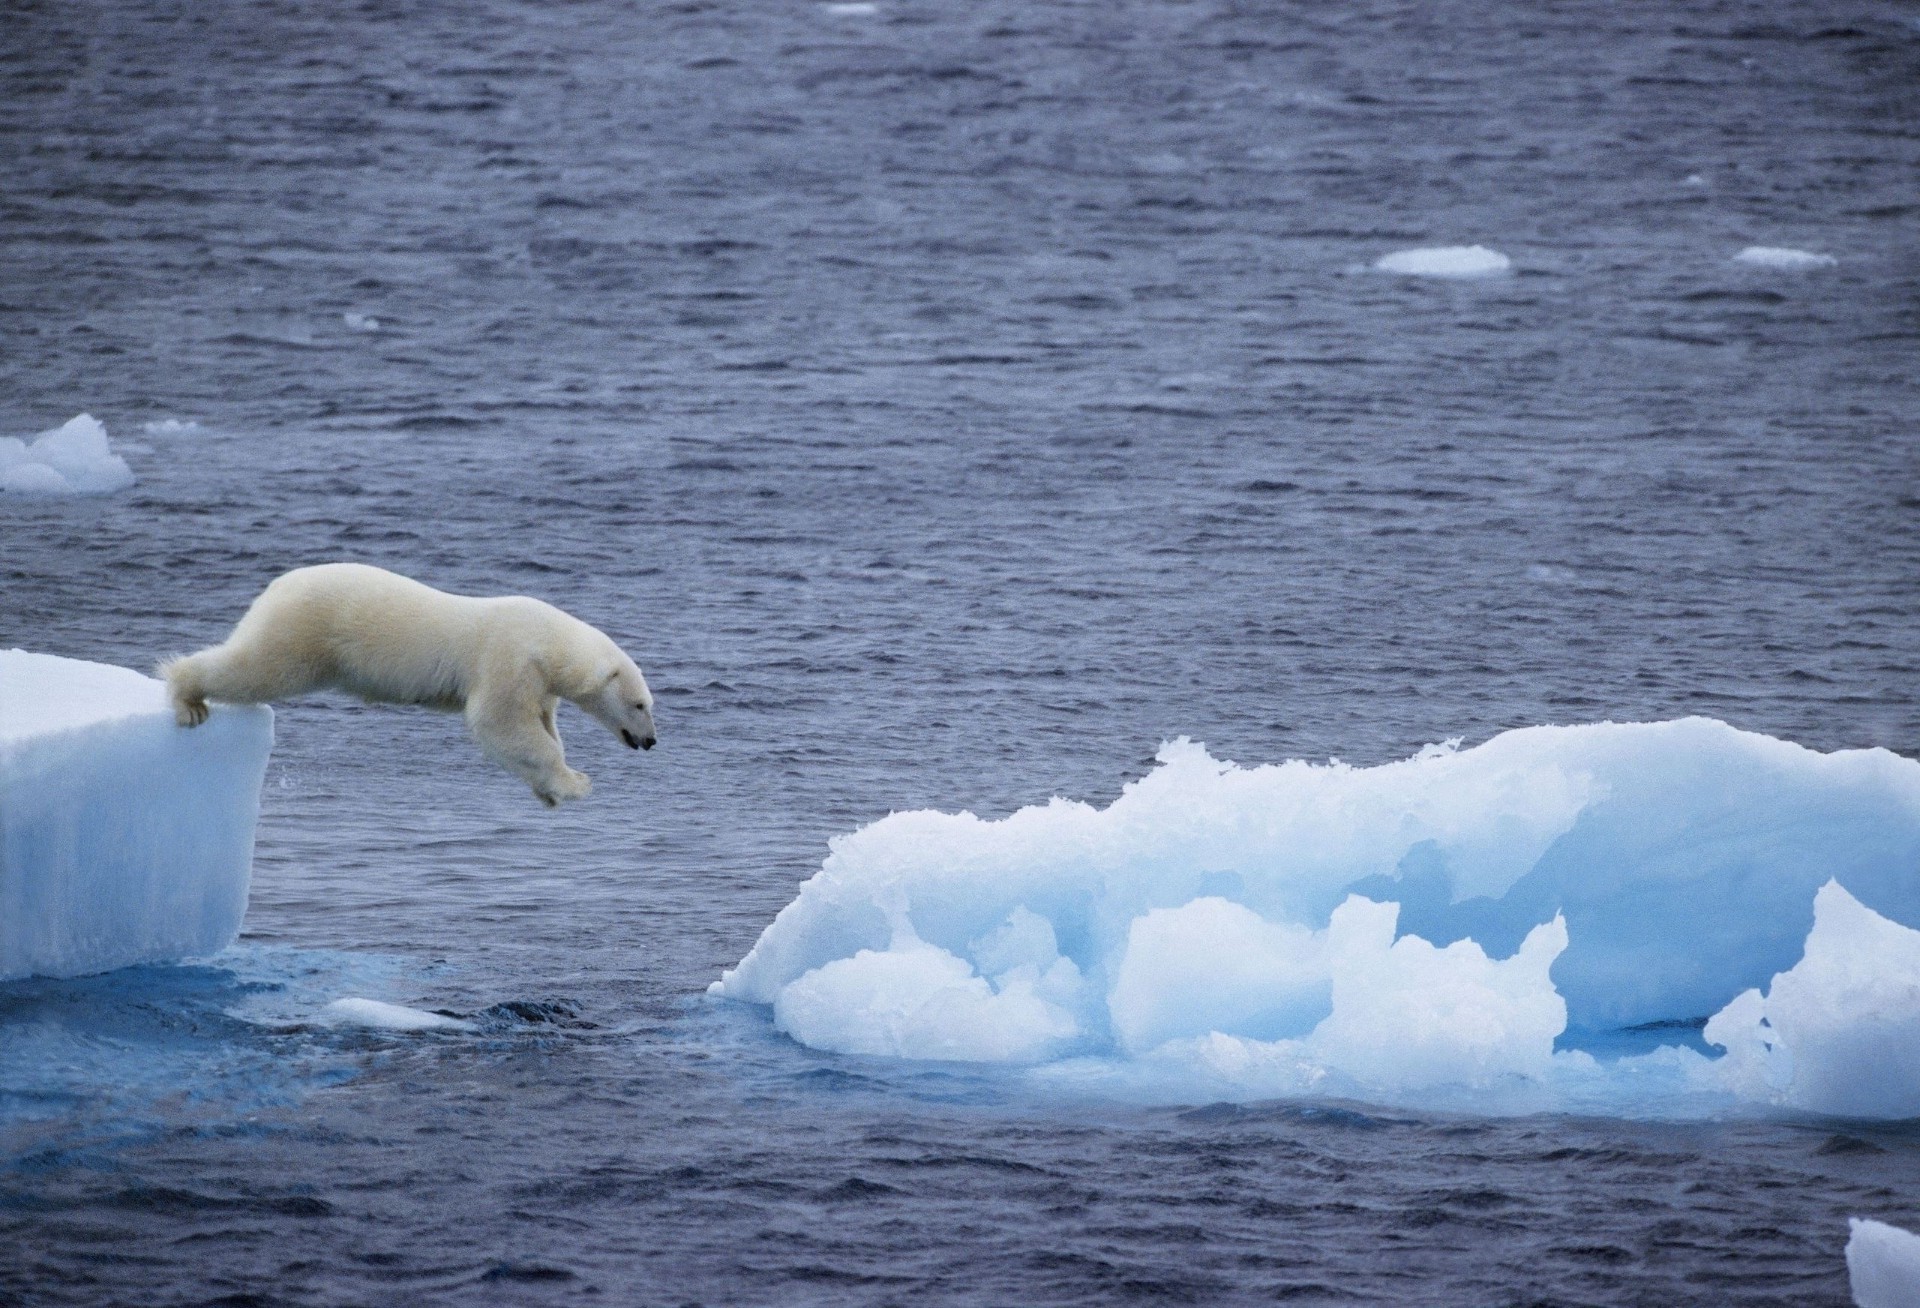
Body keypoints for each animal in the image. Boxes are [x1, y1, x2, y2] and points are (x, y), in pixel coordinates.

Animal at [159, 560, 652, 806]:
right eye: (640, 704)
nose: (650, 742)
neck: (548, 641)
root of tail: (276, 586)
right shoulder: (508, 660)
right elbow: (499, 722)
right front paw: (576, 783)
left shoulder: (538, 684)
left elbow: (536, 729)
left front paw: (549, 790)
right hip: (306, 630)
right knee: (257, 668)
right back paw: (188, 698)